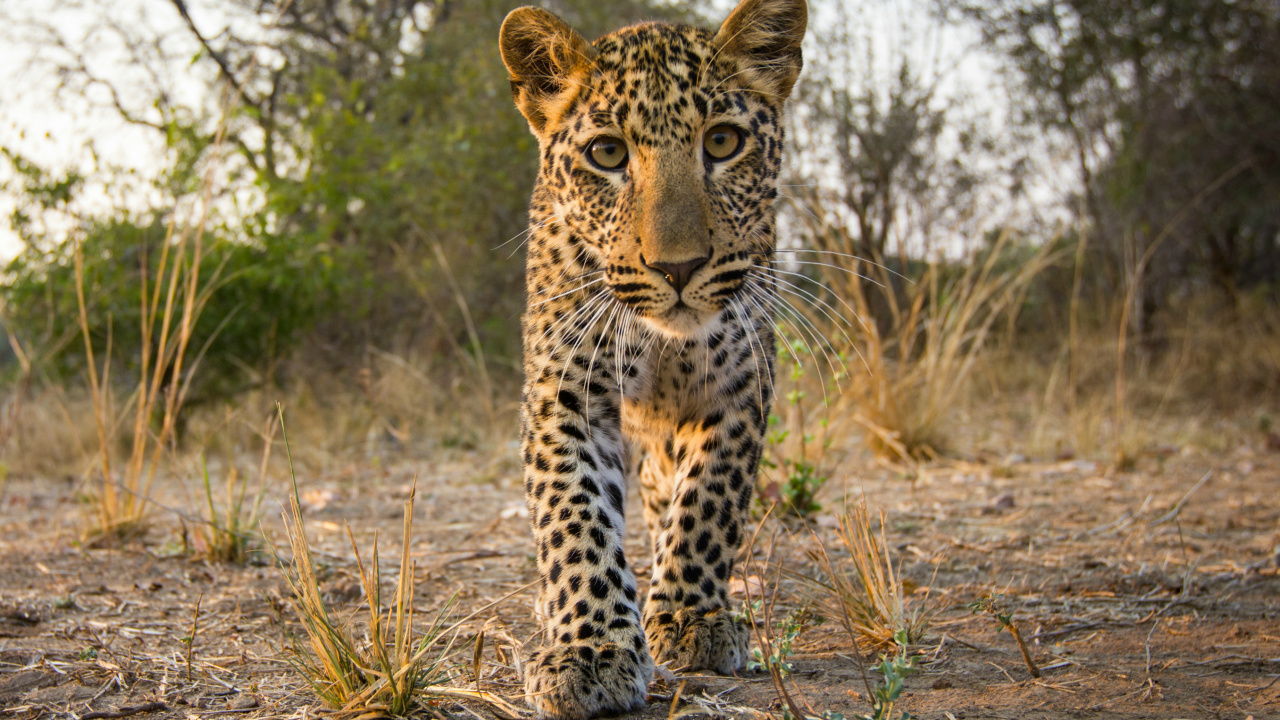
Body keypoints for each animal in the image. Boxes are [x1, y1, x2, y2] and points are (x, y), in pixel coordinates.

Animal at [498, 1, 807, 717]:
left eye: (722, 142)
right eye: (607, 153)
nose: (679, 267)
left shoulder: (740, 387)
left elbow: (708, 503)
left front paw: (690, 617)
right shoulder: (566, 394)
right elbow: (575, 518)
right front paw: (590, 651)